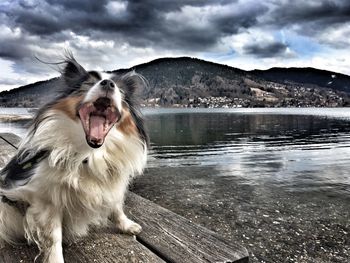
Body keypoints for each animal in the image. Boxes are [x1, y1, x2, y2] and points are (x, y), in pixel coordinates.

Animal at [0, 54, 148, 262]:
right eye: (88, 84)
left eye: (120, 90)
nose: (108, 83)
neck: (89, 155)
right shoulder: (49, 201)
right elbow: (53, 238)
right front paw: (55, 259)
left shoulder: (112, 187)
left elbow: (117, 207)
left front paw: (126, 225)